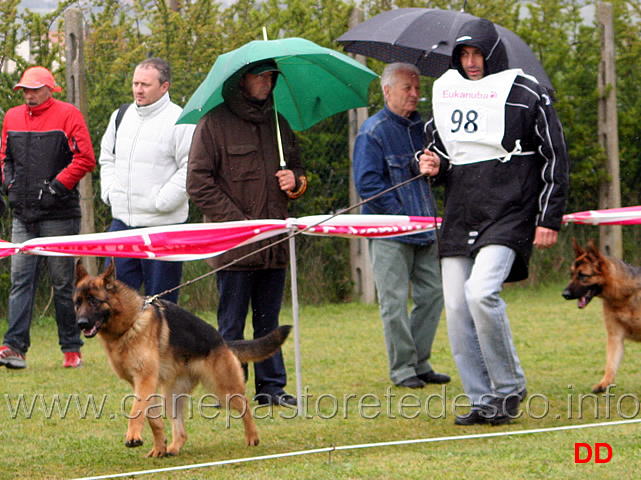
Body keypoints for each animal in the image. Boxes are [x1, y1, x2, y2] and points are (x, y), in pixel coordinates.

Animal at [72, 260, 290, 456]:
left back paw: (252, 437)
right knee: (182, 430)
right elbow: (152, 418)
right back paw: (173, 448)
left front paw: (133, 436)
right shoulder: (142, 383)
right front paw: (159, 447)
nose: (81, 324)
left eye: (94, 301)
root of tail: (222, 341)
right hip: (171, 397)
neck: (130, 323)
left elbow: (136, 411)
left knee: (244, 404)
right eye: (77, 303)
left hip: (224, 389)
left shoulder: (145, 379)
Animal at [560, 240, 640, 394]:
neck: (622, 296)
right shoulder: (615, 337)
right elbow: (610, 365)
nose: (564, 294)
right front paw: (604, 383)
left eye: (582, 275)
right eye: (572, 274)